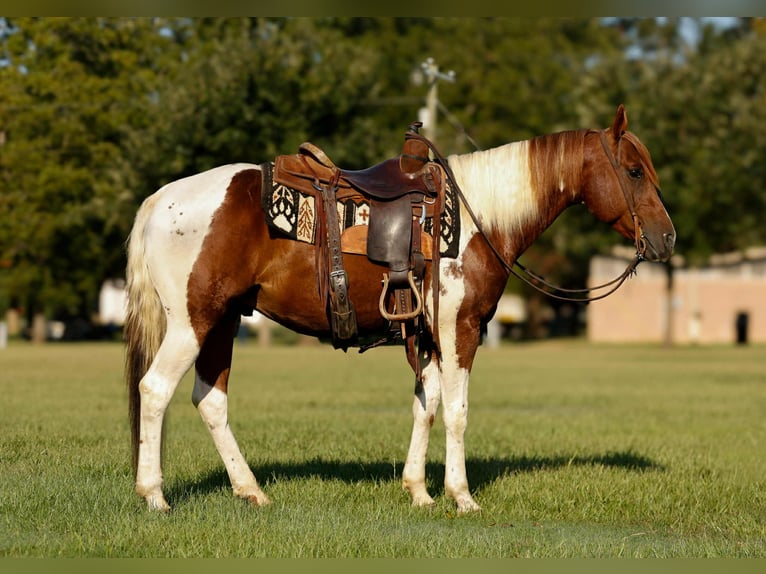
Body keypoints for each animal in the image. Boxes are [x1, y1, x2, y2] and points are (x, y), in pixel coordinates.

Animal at [125, 105, 675, 513]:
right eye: (632, 171)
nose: (667, 238)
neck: (477, 219)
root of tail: (162, 198)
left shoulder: (428, 336)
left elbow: (425, 407)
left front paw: (419, 491)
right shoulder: (459, 329)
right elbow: (456, 412)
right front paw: (462, 496)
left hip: (222, 321)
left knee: (209, 400)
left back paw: (251, 490)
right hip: (192, 321)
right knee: (154, 390)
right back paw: (154, 496)